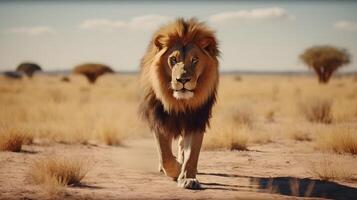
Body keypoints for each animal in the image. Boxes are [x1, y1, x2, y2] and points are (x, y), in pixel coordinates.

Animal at [138, 18, 217, 189]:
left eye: (195, 60)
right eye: (173, 59)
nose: (183, 80)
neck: (179, 103)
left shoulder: (196, 119)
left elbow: (192, 153)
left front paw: (188, 178)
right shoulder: (160, 119)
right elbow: (165, 155)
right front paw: (175, 171)